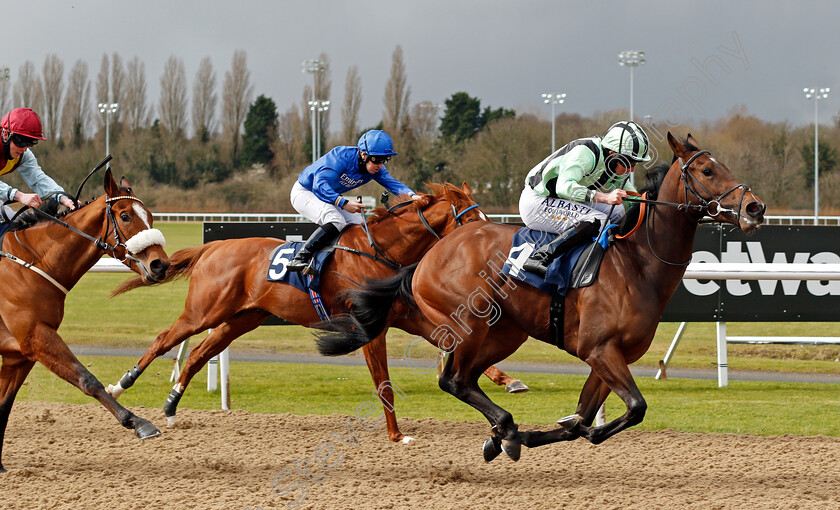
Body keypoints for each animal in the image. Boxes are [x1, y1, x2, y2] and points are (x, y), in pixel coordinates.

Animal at [0, 169, 171, 472]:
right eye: (125, 216)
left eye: (150, 215)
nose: (160, 265)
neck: (32, 263)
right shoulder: (36, 337)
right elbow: (87, 379)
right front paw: (138, 422)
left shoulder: (19, 353)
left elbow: (4, 406)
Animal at [106, 182, 524, 442]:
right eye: (471, 220)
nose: (499, 251)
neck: (382, 251)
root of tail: (213, 247)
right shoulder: (370, 326)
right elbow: (383, 382)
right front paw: (396, 434)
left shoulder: (406, 316)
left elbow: (452, 339)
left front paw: (502, 380)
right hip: (204, 311)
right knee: (165, 339)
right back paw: (120, 386)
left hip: (242, 318)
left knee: (197, 353)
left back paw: (171, 406)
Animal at [316, 133, 768, 460]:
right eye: (707, 169)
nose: (755, 208)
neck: (638, 263)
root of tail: (429, 254)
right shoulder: (599, 349)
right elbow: (632, 409)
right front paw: (531, 435)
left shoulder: (608, 356)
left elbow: (586, 418)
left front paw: (544, 432)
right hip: (471, 324)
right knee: (453, 379)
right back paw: (506, 427)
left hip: (504, 332)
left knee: (467, 379)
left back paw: (502, 431)